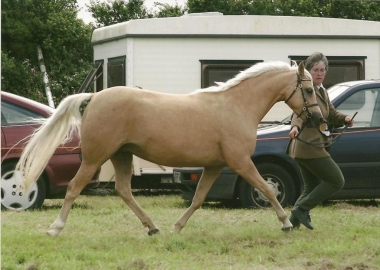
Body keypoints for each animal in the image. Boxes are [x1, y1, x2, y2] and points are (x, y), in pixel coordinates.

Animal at [17, 61, 320, 236]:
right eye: (308, 90)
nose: (317, 118)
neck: (236, 107)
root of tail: (93, 97)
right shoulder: (241, 162)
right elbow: (268, 189)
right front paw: (286, 223)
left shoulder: (215, 166)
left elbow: (198, 198)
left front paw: (177, 226)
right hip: (95, 158)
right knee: (74, 188)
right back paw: (55, 228)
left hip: (121, 155)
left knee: (123, 190)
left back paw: (153, 228)